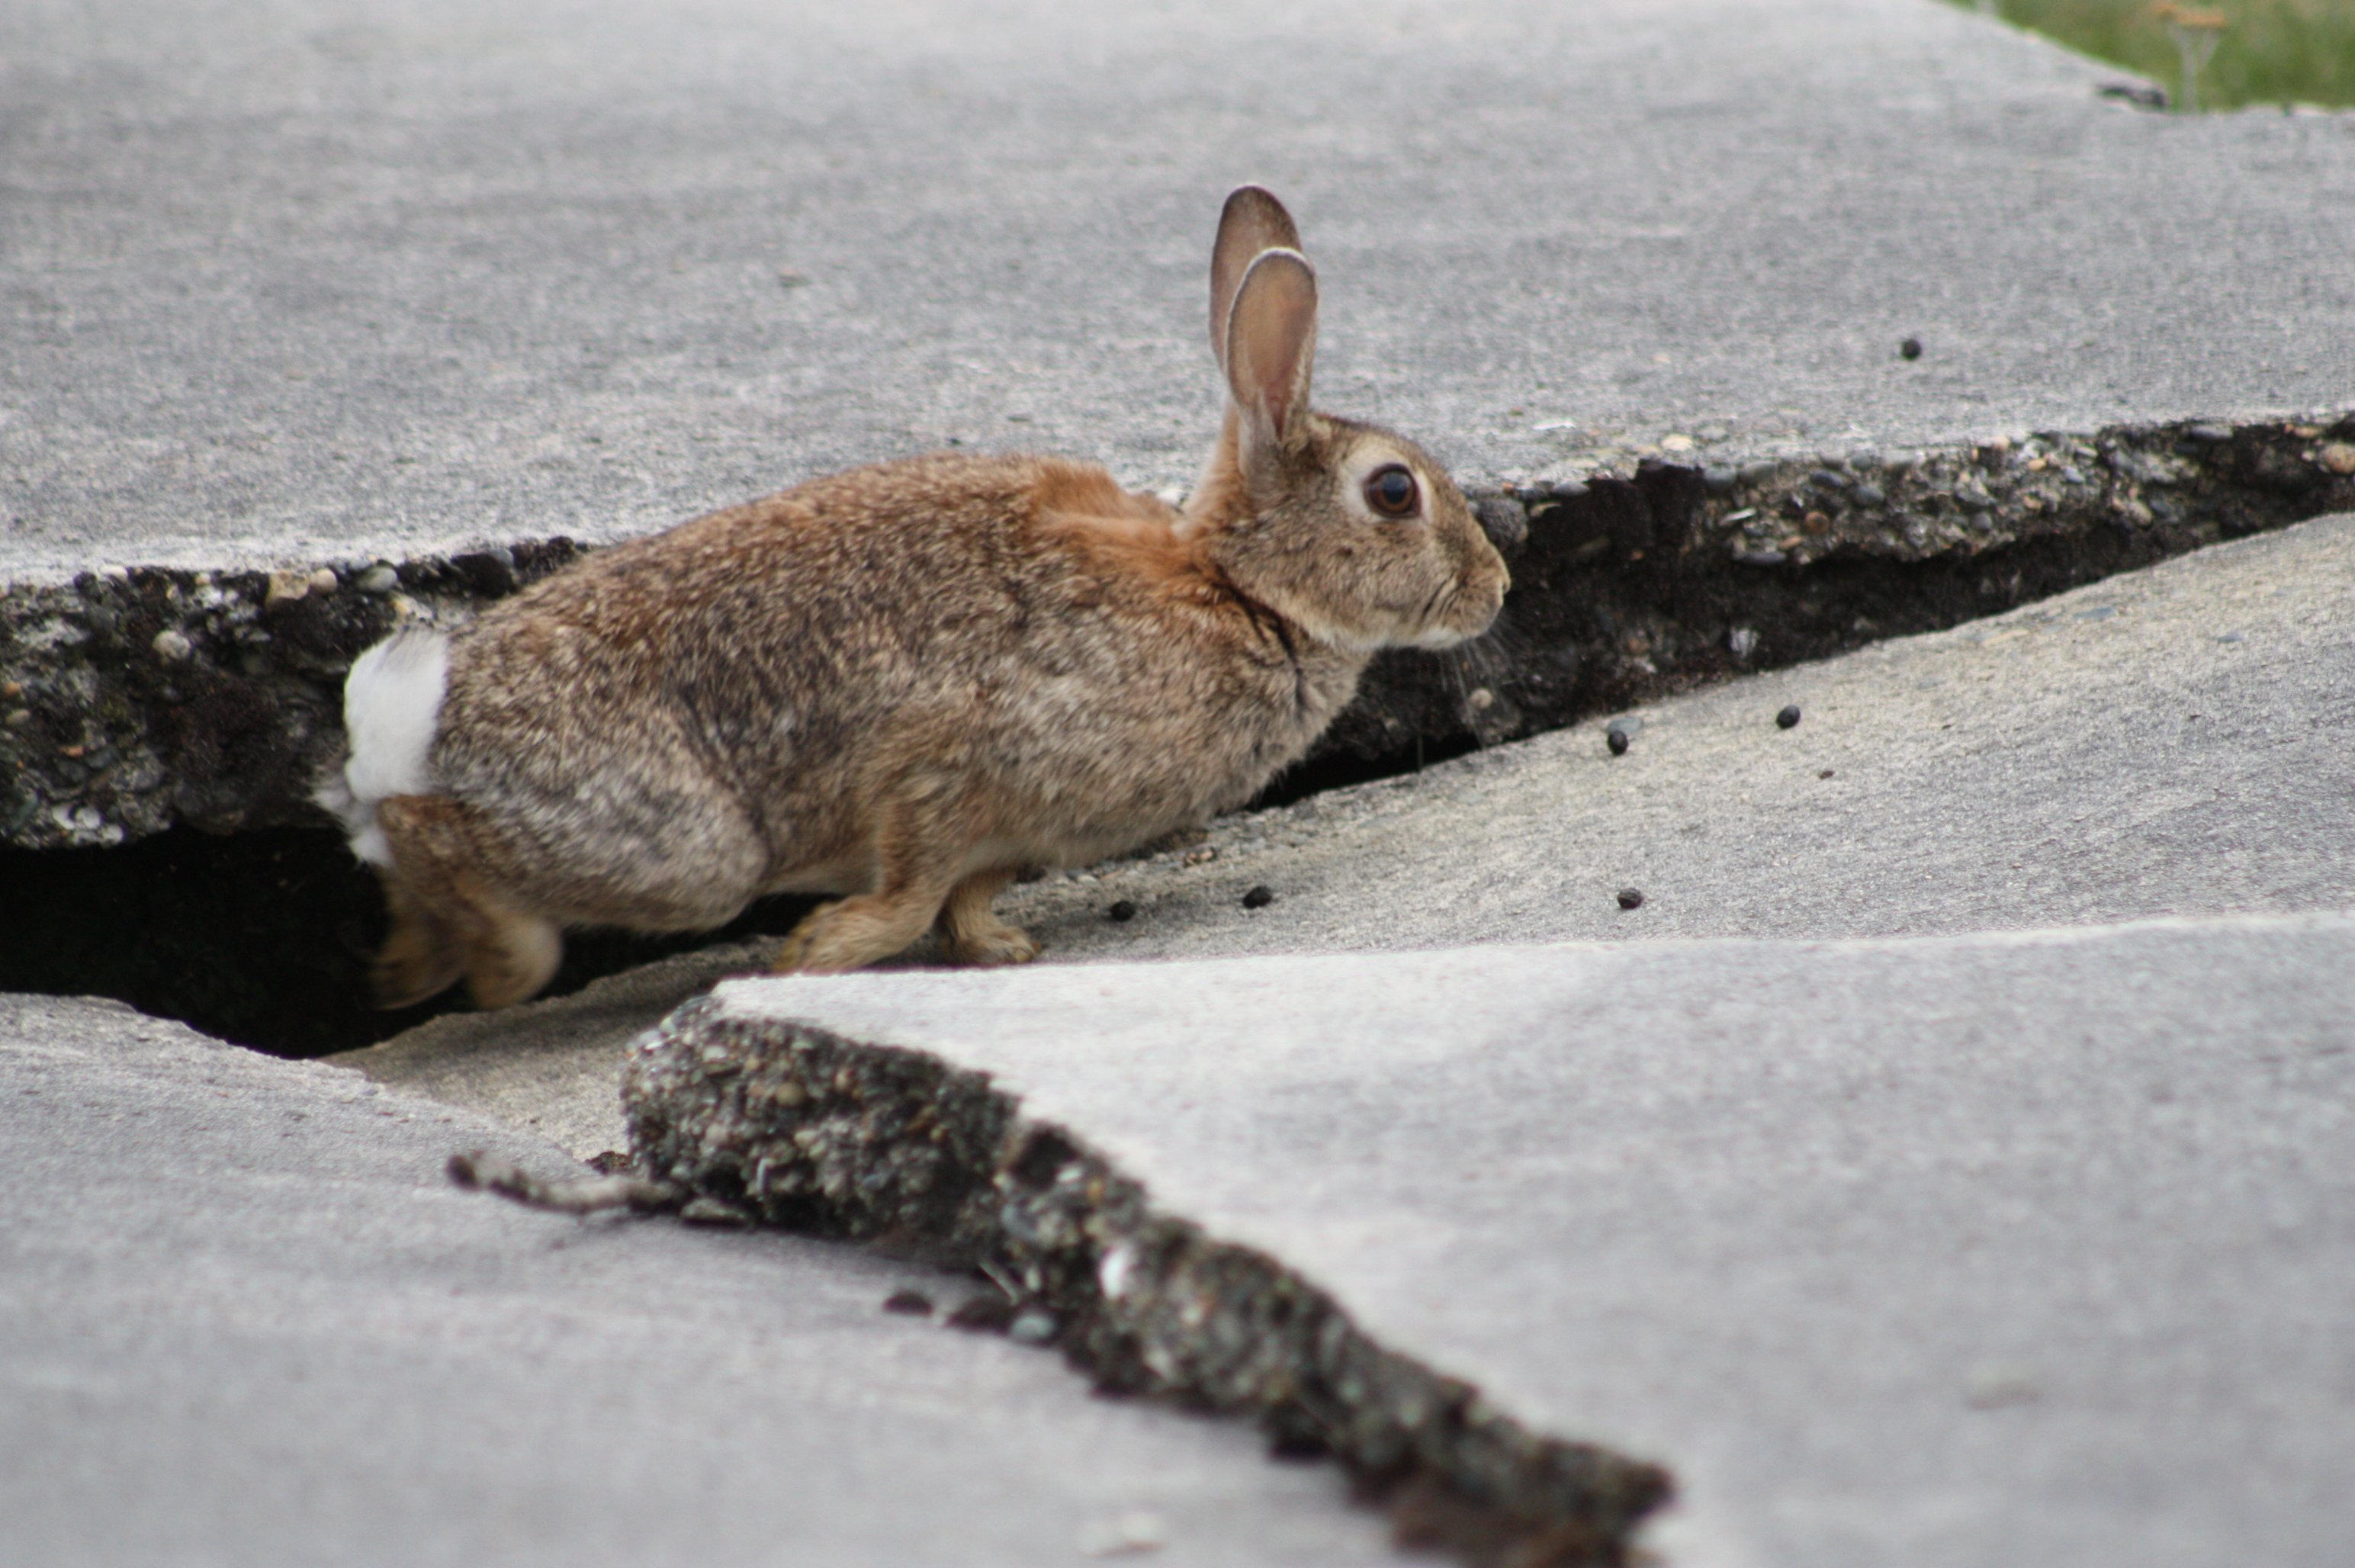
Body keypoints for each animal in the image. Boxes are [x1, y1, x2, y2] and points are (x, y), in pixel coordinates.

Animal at [323, 189, 1507, 1007]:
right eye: (1393, 492)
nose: (1496, 587)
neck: (1239, 590)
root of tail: (407, 727)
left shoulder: (1020, 831)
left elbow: (971, 899)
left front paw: (1004, 951)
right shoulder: (947, 768)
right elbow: (907, 895)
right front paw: (818, 954)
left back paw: (402, 970)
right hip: (688, 853)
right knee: (435, 838)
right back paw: (495, 971)